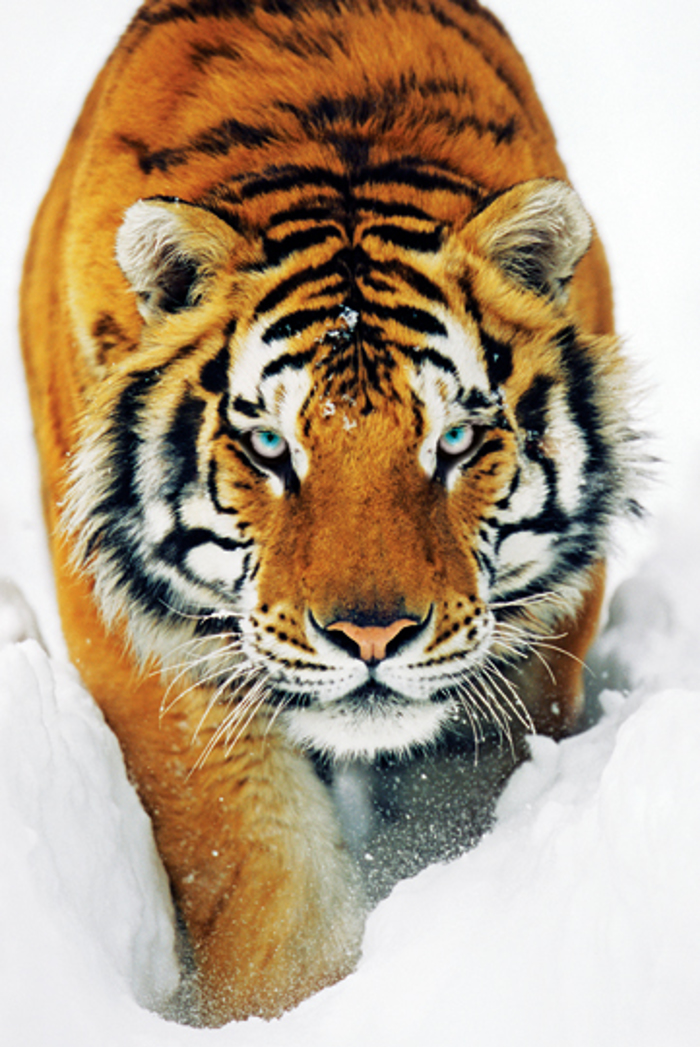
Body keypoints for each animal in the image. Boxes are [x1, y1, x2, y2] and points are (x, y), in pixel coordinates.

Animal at [20, 0, 639, 1027]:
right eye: (272, 448)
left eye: (455, 441)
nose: (372, 635)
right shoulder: (148, 647)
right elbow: (259, 868)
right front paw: (287, 1004)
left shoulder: (534, 643)